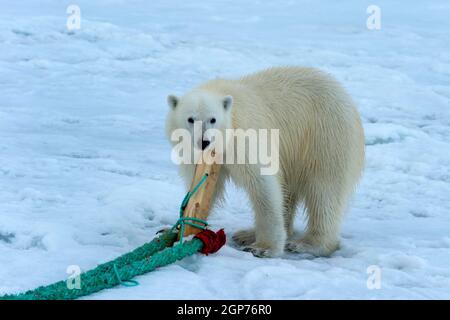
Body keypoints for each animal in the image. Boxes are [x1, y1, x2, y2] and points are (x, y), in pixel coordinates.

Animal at [165, 67, 366, 258]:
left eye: (212, 119)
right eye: (190, 119)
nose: (204, 142)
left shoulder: (244, 138)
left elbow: (262, 184)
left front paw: (264, 248)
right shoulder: (196, 154)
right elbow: (205, 188)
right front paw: (181, 228)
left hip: (325, 136)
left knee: (324, 190)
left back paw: (310, 244)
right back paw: (247, 234)